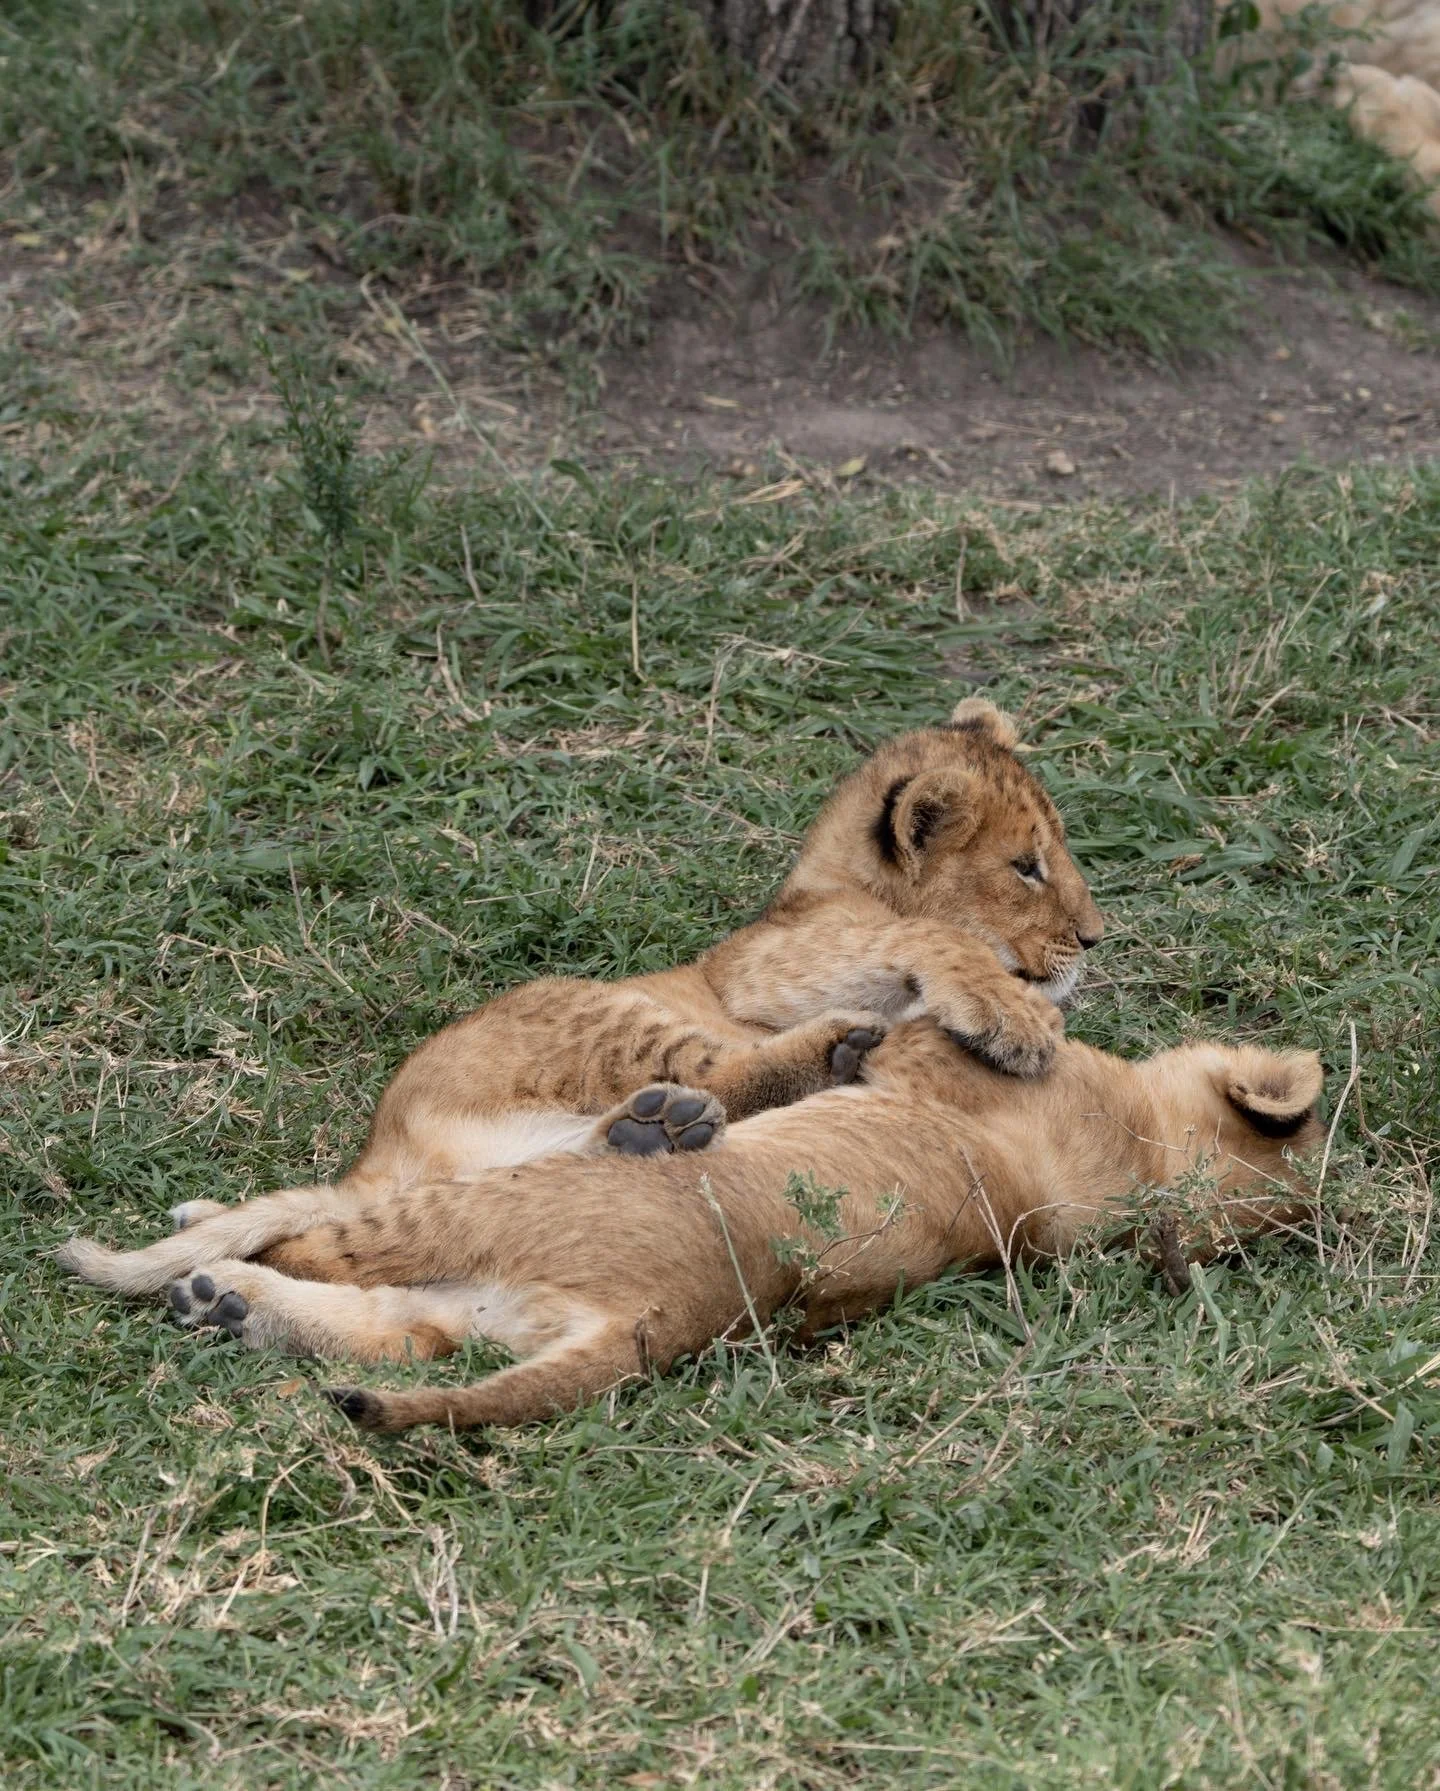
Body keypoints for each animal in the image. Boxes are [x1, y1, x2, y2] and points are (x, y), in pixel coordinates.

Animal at [61, 1020, 1324, 1433]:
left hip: (491, 1208)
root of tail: (657, 1318)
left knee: (320, 1233)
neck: (1144, 1158)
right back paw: (219, 1295)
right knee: (391, 1330)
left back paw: (174, 1261)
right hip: (476, 1305)